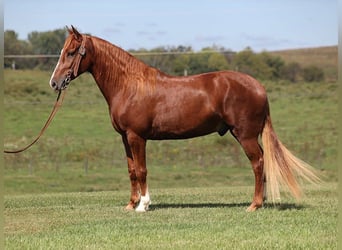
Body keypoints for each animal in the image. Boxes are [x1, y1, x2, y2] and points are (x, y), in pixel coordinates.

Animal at [49, 26, 320, 212]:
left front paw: (143, 205)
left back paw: (254, 205)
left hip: (245, 136)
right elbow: (132, 171)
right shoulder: (125, 138)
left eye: (71, 52)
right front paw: (131, 203)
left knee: (258, 162)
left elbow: (143, 170)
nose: (54, 83)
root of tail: (258, 86)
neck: (130, 85)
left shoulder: (137, 137)